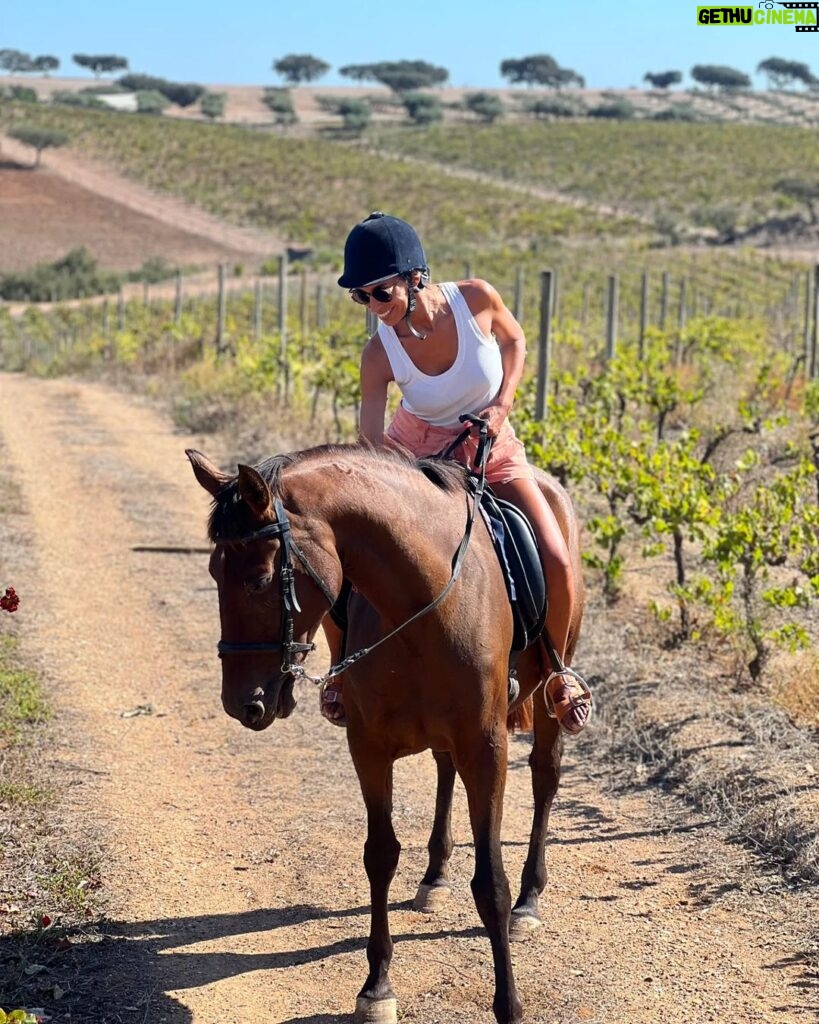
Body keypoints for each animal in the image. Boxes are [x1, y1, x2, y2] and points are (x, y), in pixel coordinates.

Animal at [187, 444, 581, 1024]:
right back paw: (434, 876)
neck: (425, 604)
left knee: (544, 777)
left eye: (259, 580)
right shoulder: (368, 747)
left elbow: (490, 882)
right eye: (215, 573)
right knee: (444, 770)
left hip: (550, 693)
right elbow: (380, 855)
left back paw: (530, 899)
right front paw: (376, 987)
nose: (241, 703)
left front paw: (508, 1003)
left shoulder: (486, 747)